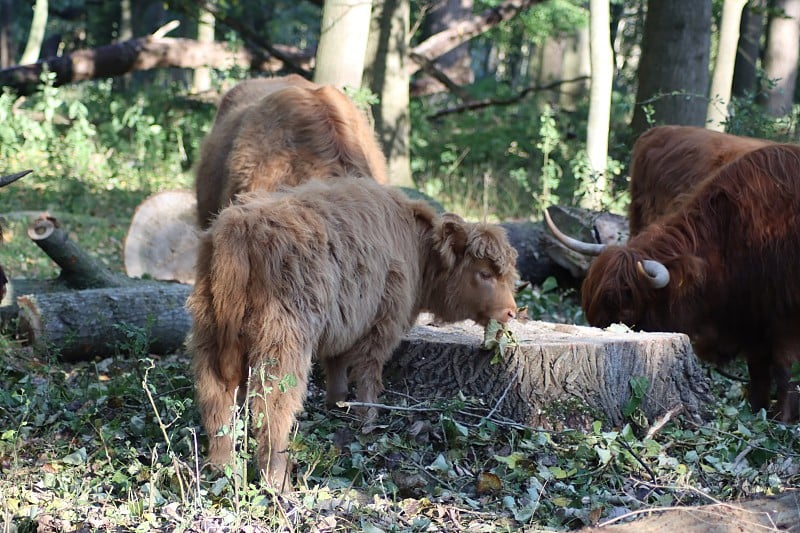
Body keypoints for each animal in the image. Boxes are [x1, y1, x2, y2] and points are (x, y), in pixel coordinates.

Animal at [191, 176, 520, 490]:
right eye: (485, 273)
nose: (512, 311)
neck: (416, 249)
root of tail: (240, 224)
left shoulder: (343, 325)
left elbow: (337, 365)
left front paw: (337, 404)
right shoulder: (384, 322)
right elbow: (369, 374)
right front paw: (368, 419)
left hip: (209, 335)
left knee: (215, 398)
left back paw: (221, 468)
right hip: (284, 342)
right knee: (272, 409)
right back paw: (279, 483)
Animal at [548, 143, 800, 422]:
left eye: (626, 311)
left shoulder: (784, 317)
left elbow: (784, 367)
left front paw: (783, 418)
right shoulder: (752, 322)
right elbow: (758, 372)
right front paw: (757, 413)